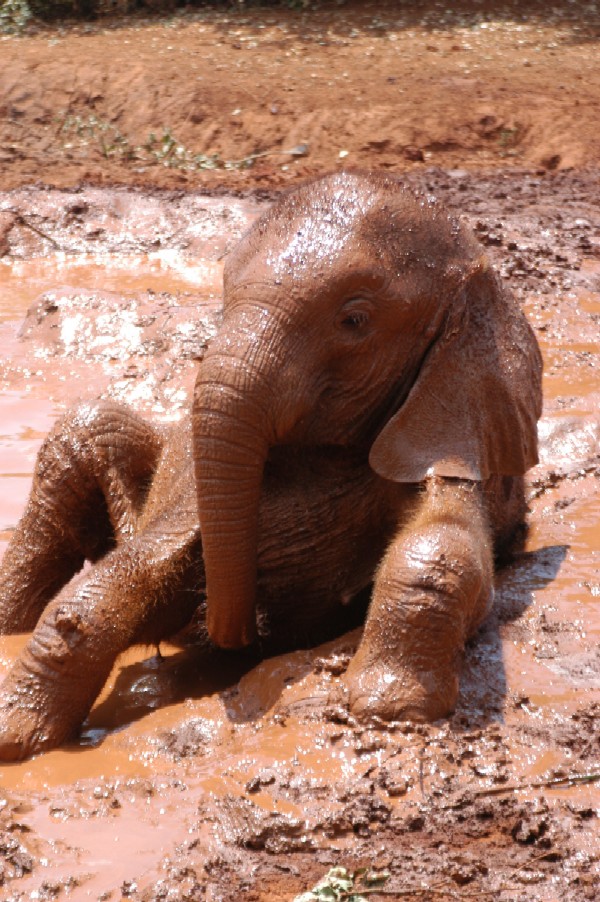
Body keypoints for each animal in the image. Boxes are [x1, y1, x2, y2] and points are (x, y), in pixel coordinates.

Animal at [0, 171, 540, 764]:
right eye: (224, 294)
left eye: (355, 321)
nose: (241, 631)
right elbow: (139, 568)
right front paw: (18, 734)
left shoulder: (453, 428)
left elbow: (443, 544)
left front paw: (386, 708)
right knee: (78, 440)